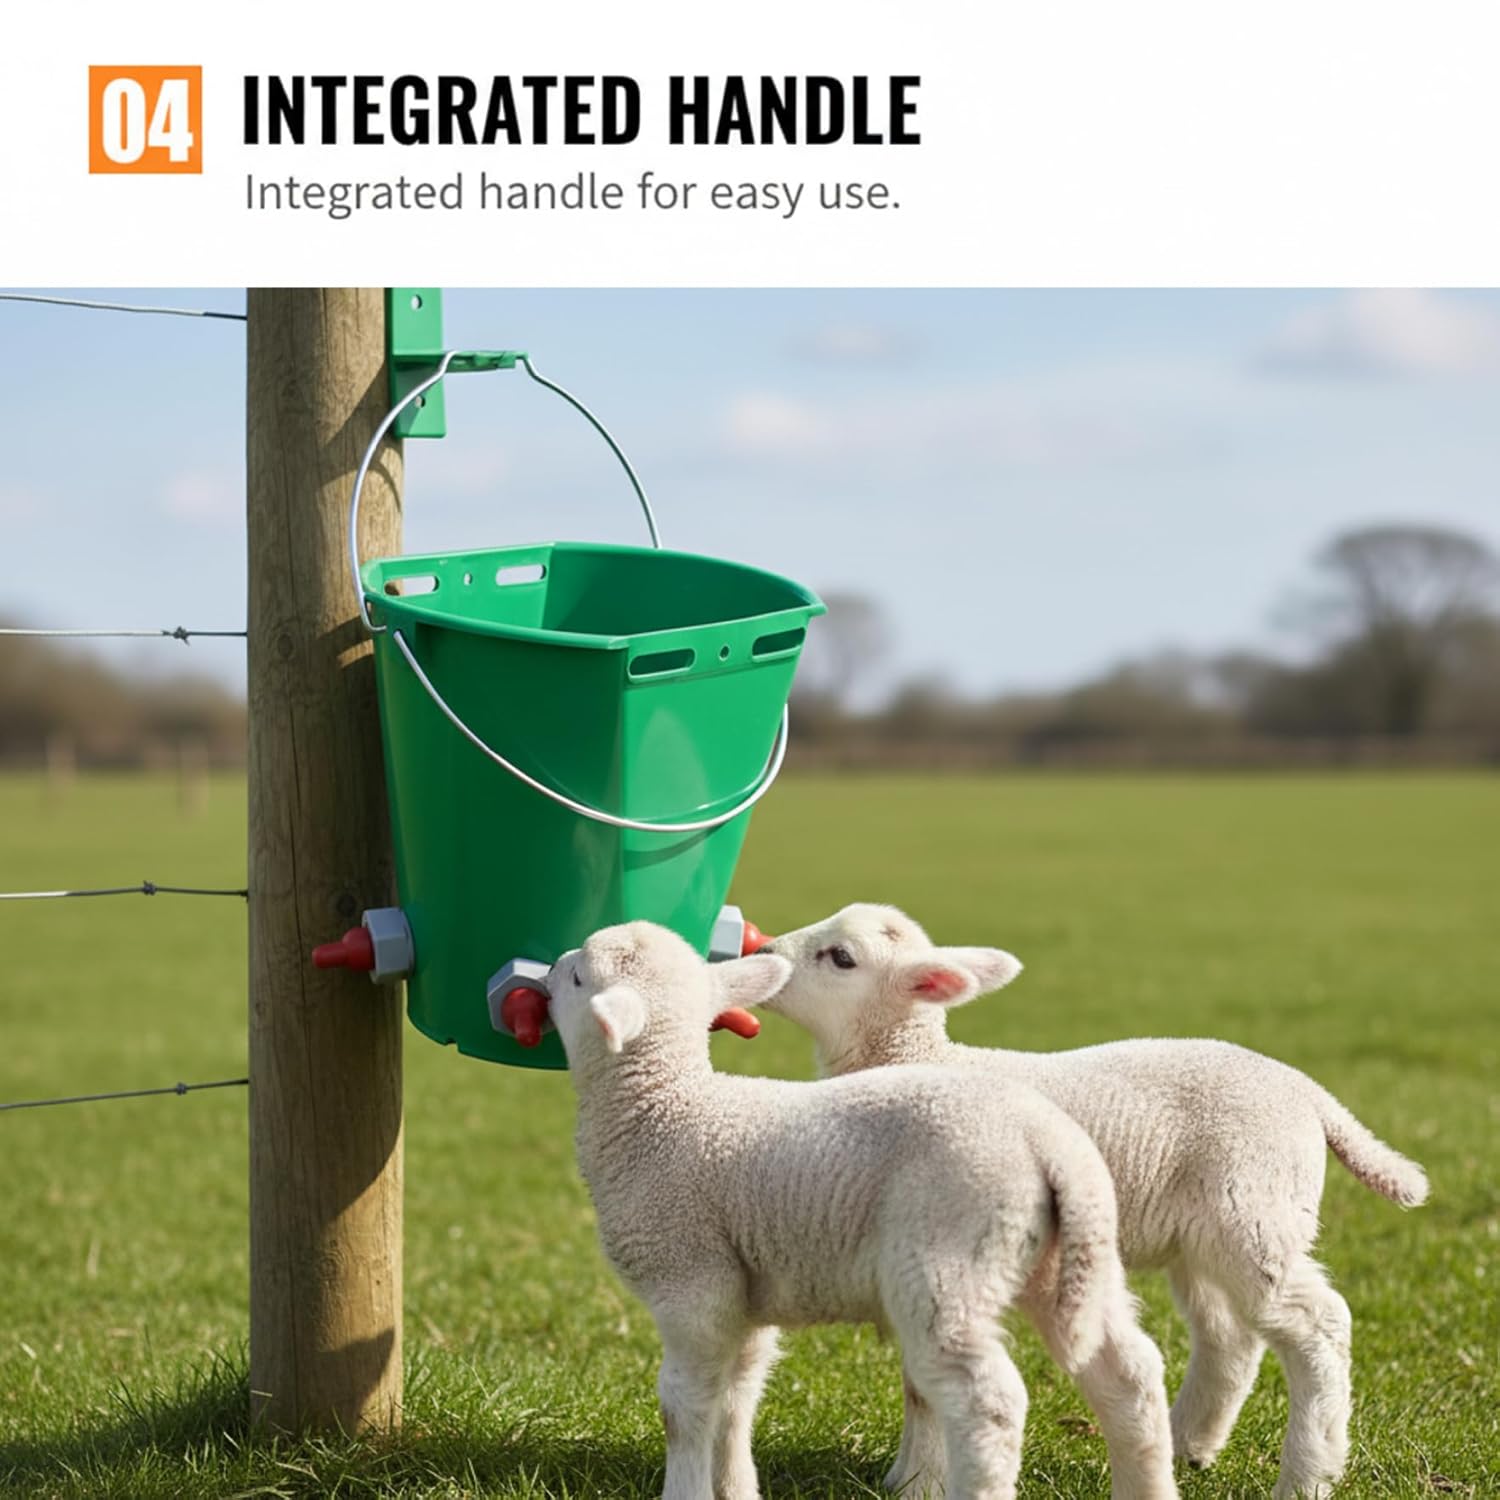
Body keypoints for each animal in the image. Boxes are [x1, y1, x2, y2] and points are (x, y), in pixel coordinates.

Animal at [546, 919, 1179, 1500]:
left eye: (579, 978)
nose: (552, 967)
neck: (663, 1110)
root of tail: (1048, 1145)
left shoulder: (689, 1280)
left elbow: (684, 1406)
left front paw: (686, 1490)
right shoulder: (741, 1290)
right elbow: (737, 1396)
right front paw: (736, 1487)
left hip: (949, 1257)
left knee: (989, 1402)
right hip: (1076, 1260)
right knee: (1131, 1373)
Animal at [758, 903, 1431, 1500]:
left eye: (841, 957)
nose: (764, 952)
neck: (914, 1057)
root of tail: (1311, 1094)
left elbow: (923, 1386)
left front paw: (917, 1484)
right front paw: (906, 1475)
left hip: (1256, 1212)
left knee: (1319, 1325)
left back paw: (1307, 1477)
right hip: (1208, 1235)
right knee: (1230, 1338)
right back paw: (1187, 1445)